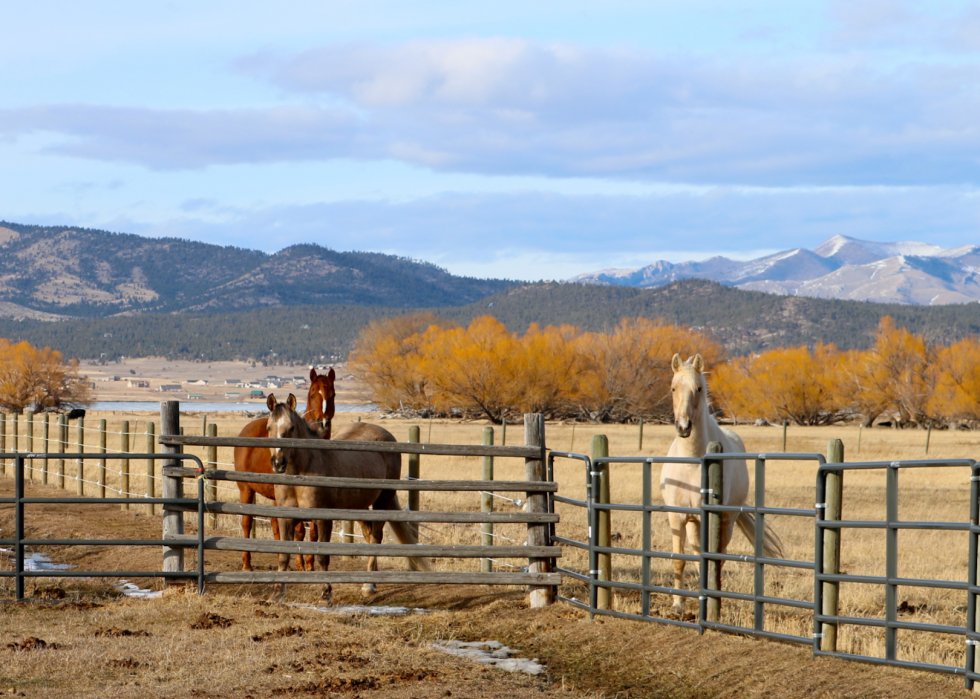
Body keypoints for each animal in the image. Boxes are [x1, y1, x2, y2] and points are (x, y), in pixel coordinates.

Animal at [234, 370, 336, 572]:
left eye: (333, 394)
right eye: (313, 394)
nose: (323, 423)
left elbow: (313, 532)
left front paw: (310, 565)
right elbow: (299, 531)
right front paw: (301, 565)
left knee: (275, 526)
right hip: (246, 489)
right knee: (247, 523)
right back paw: (247, 564)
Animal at [264, 394, 428, 600]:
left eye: (291, 428)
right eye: (268, 427)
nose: (278, 463)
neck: (301, 473)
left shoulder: (323, 519)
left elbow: (322, 557)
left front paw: (326, 592)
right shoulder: (286, 519)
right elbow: (283, 556)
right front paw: (277, 594)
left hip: (382, 502)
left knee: (376, 538)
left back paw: (368, 586)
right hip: (359, 506)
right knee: (369, 536)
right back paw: (372, 582)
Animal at [660, 352, 780, 616]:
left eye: (699, 388)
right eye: (673, 388)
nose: (683, 427)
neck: (691, 462)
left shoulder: (710, 516)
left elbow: (712, 557)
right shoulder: (677, 516)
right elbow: (679, 560)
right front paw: (677, 605)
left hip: (727, 520)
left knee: (719, 556)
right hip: (695, 523)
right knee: (699, 552)